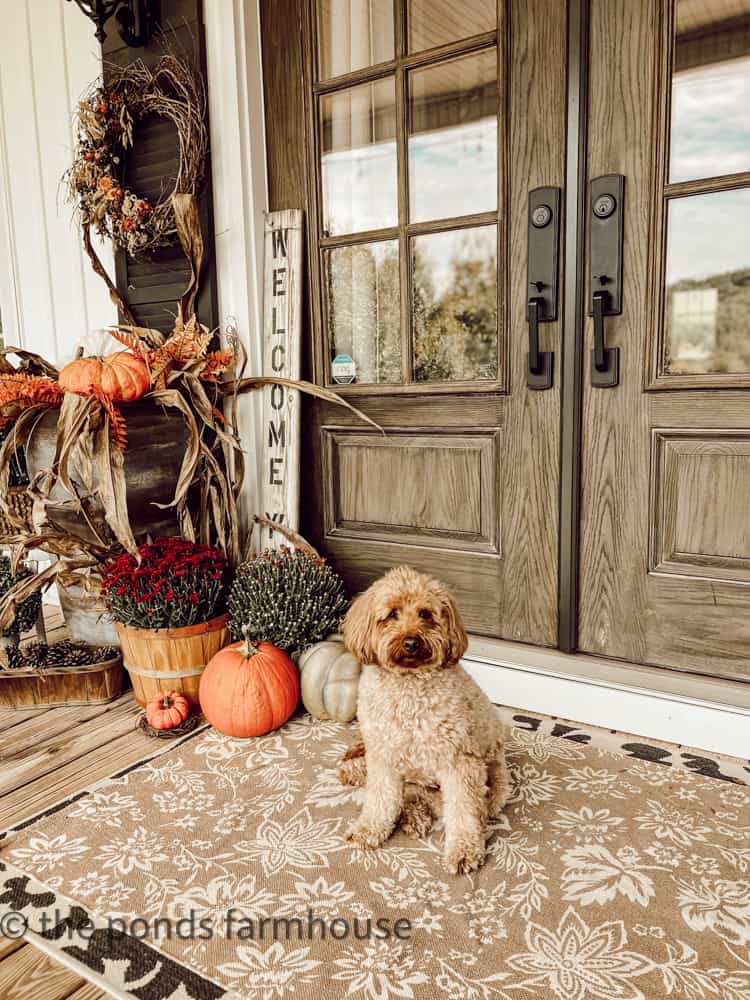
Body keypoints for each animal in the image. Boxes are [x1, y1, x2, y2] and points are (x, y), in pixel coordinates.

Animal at [340, 568, 512, 872]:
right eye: (392, 614)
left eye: (425, 614)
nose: (411, 642)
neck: (409, 686)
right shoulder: (383, 756)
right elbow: (380, 800)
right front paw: (368, 829)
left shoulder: (459, 763)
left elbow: (463, 813)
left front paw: (464, 851)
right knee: (405, 794)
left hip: (494, 784)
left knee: (455, 805)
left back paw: (416, 818)